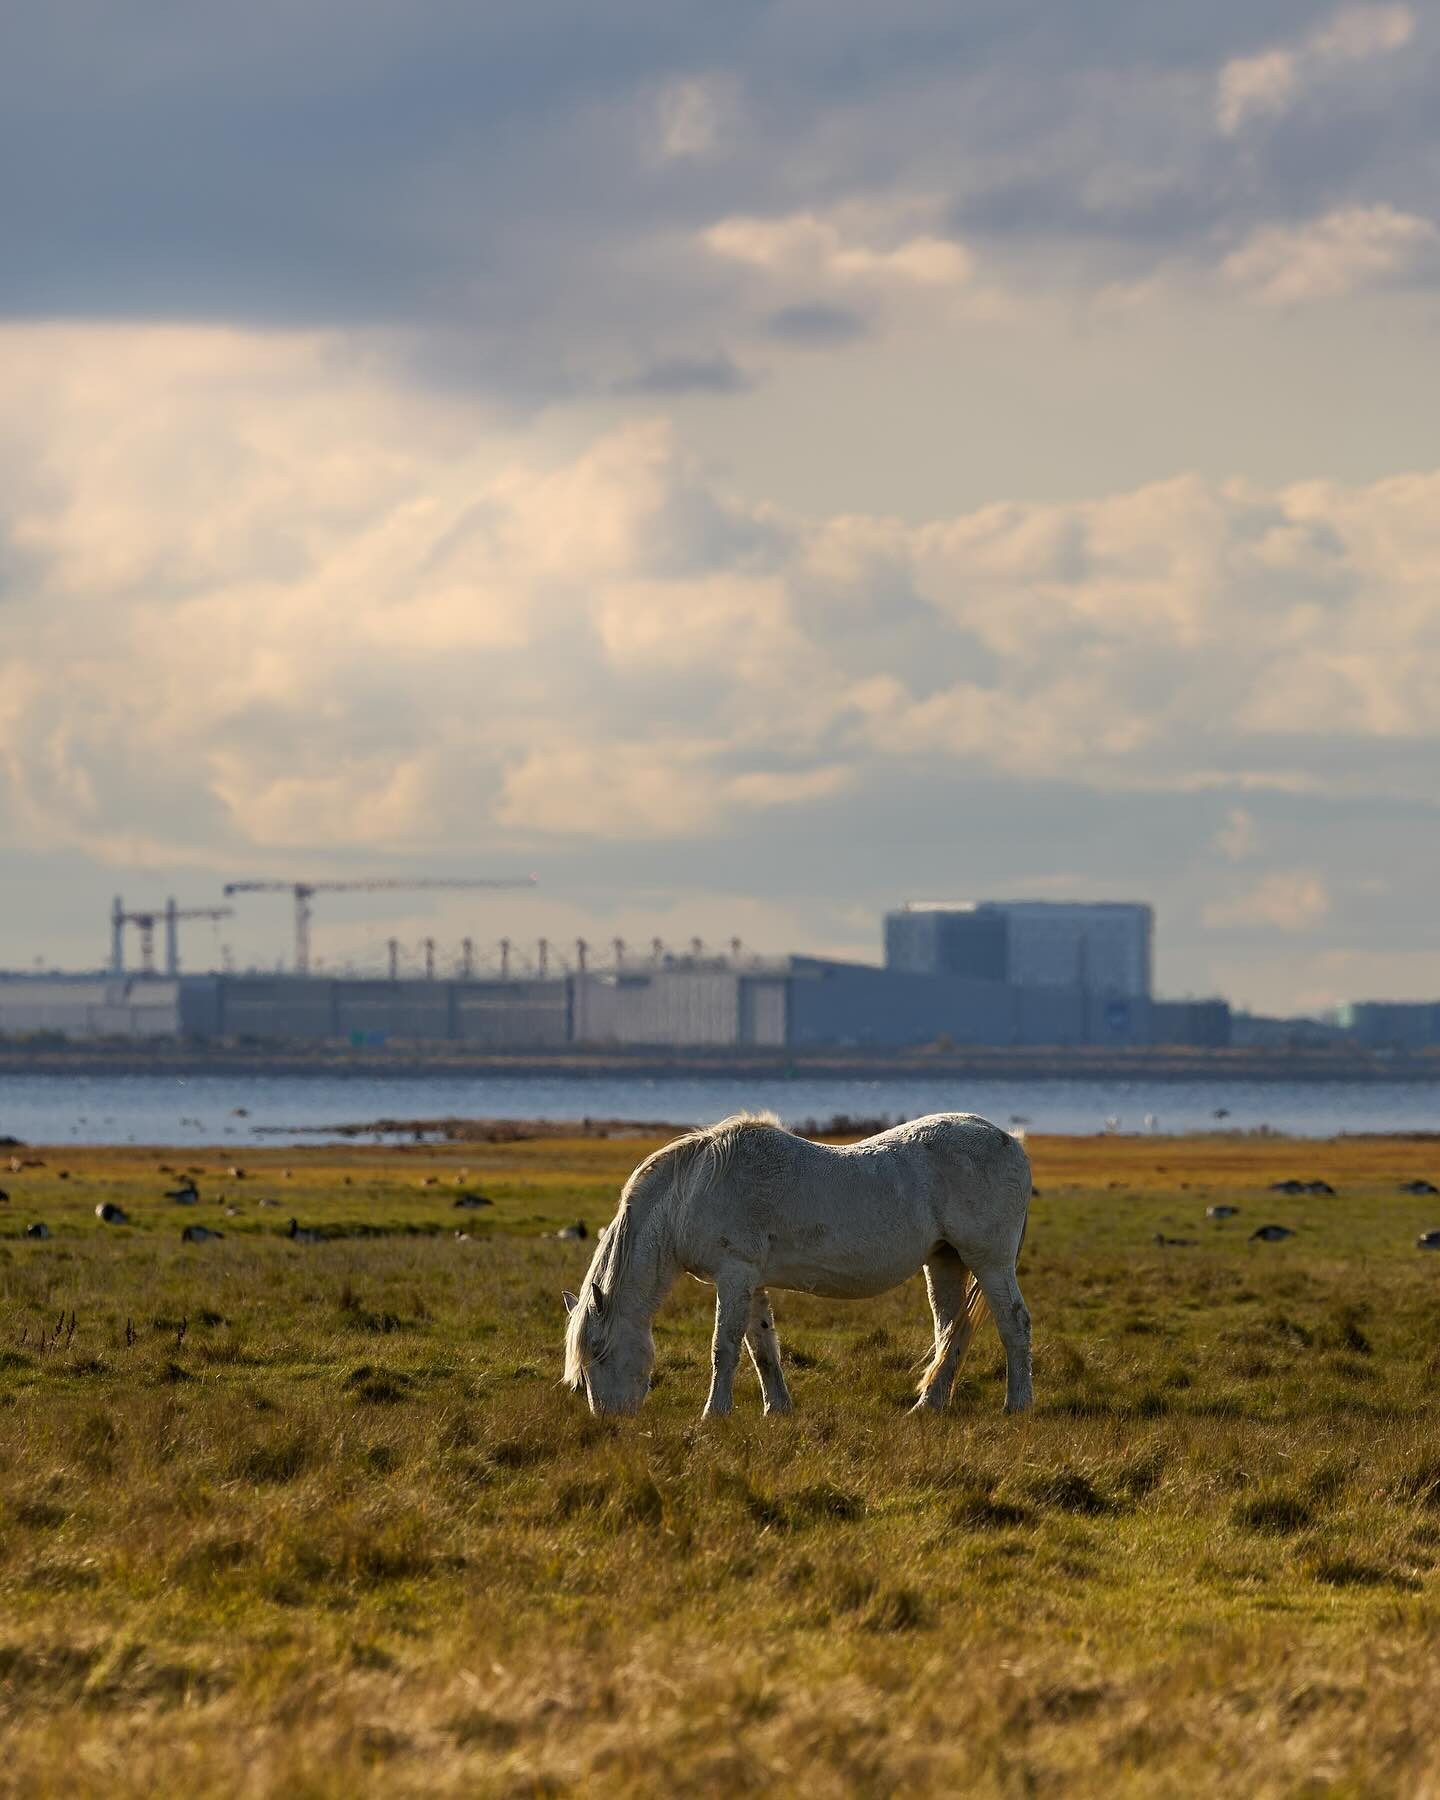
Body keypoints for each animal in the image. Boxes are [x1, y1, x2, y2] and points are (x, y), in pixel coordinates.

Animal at [562, 1111, 1032, 1419]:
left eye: (599, 1351)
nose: (609, 1421)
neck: (690, 1192)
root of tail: (1010, 1141)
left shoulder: (734, 1274)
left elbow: (724, 1347)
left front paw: (714, 1414)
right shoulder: (751, 1281)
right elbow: (762, 1348)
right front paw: (777, 1409)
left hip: (989, 1261)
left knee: (1014, 1323)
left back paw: (1017, 1405)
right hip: (945, 1261)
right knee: (951, 1330)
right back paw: (928, 1406)